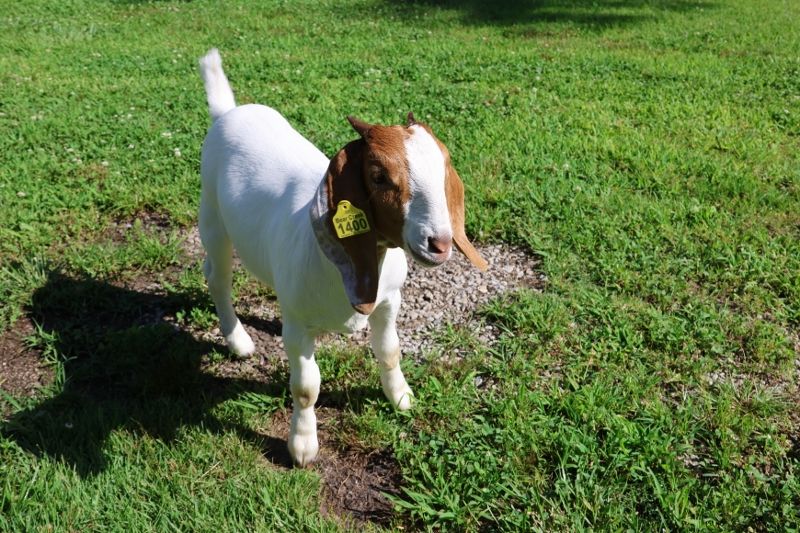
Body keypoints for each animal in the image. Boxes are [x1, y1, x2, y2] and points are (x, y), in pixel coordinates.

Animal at [198, 49, 488, 466]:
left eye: (444, 166)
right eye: (379, 176)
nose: (440, 243)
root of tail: (228, 112)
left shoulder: (389, 301)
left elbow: (389, 350)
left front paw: (400, 397)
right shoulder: (299, 326)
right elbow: (306, 387)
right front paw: (302, 446)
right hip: (212, 217)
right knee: (217, 276)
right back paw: (238, 341)